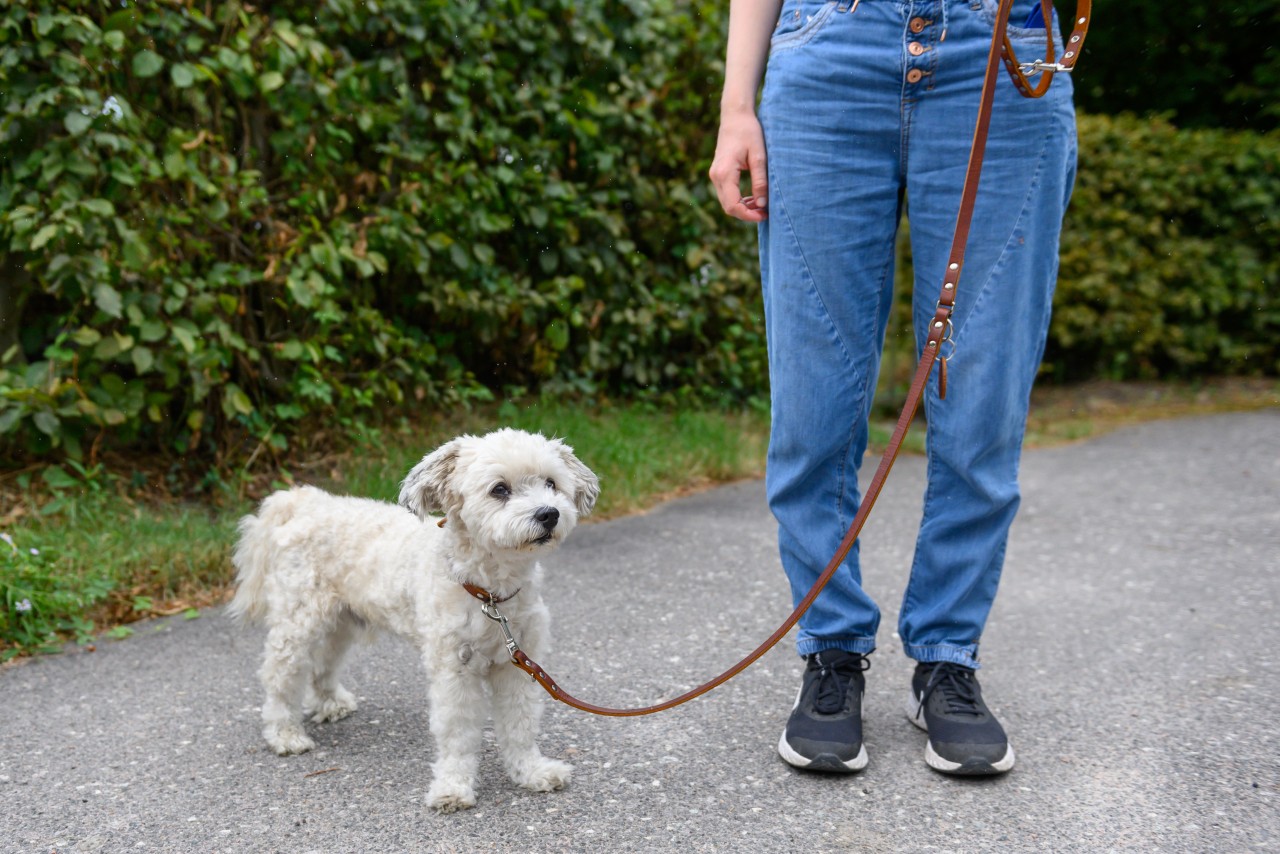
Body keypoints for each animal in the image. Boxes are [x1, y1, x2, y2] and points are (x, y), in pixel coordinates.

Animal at [230, 430, 599, 814]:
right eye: (500, 489)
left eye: (550, 483)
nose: (549, 514)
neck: (489, 594)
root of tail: (305, 502)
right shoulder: (455, 671)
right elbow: (458, 732)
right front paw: (453, 787)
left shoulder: (518, 668)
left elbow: (520, 723)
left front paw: (531, 771)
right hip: (298, 623)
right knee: (279, 676)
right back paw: (284, 733)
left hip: (341, 622)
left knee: (324, 665)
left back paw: (330, 704)